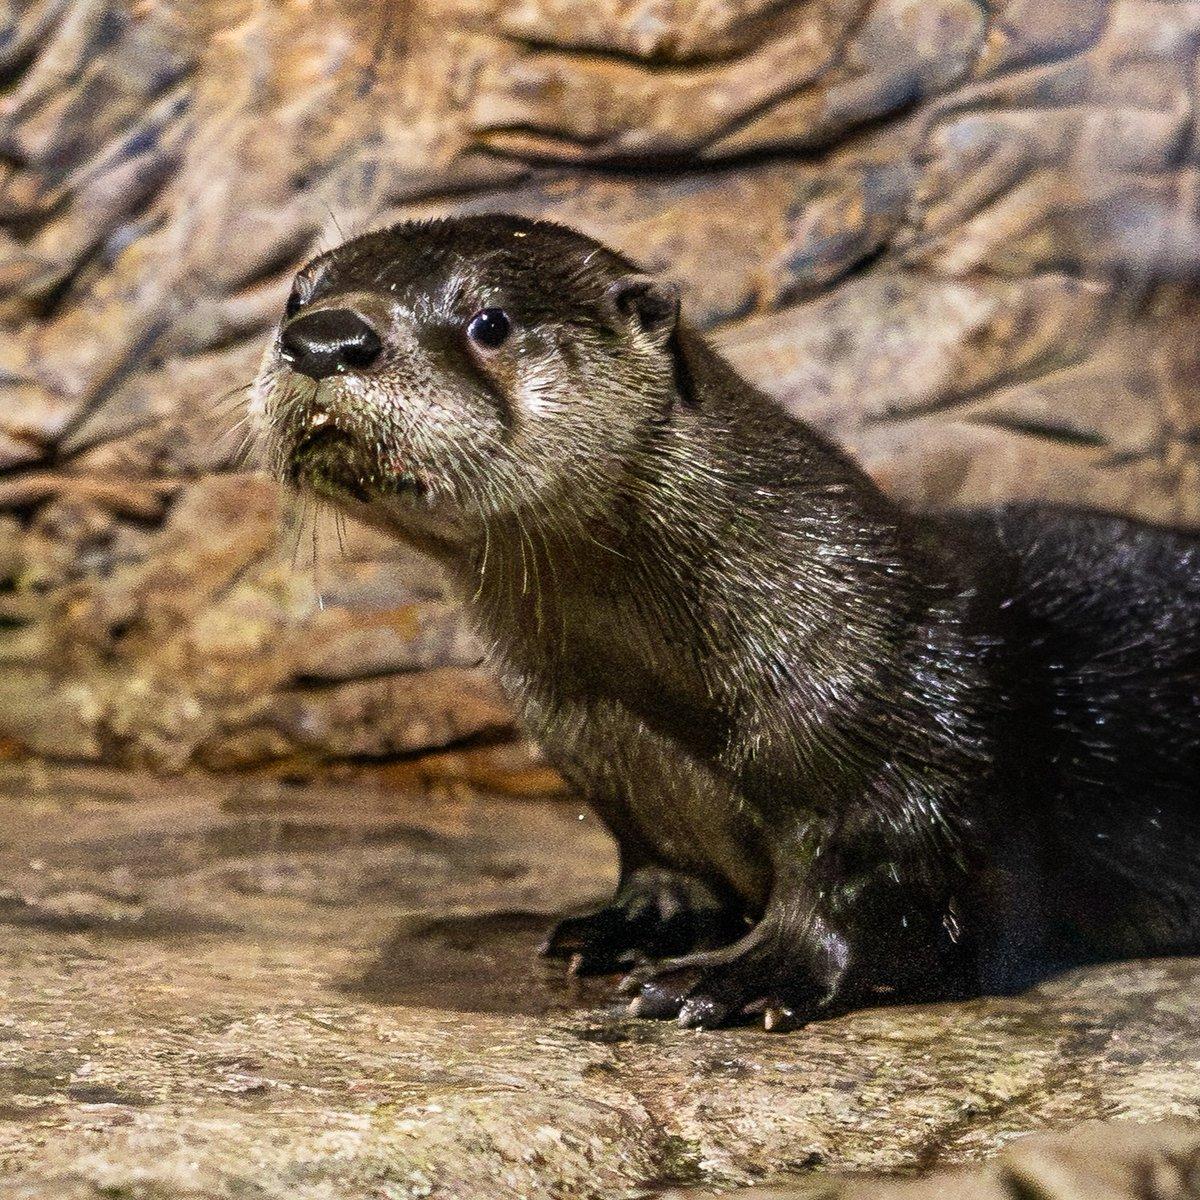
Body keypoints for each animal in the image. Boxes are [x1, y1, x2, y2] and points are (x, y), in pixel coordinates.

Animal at [250, 215, 1200, 1030]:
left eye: (490, 321)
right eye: (297, 296)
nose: (325, 340)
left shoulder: (897, 753)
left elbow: (865, 899)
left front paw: (742, 977)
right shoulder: (610, 757)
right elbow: (667, 862)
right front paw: (626, 927)